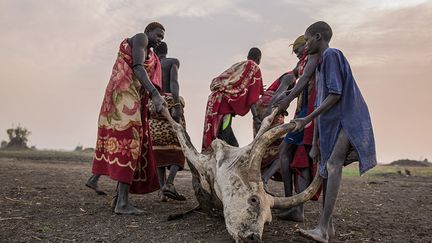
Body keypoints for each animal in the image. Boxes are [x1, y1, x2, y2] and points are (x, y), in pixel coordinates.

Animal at [161, 107, 320, 242]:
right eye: (254, 200)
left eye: (268, 221)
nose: (254, 238)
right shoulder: (202, 162)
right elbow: (178, 127)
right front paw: (162, 105)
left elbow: (265, 123)